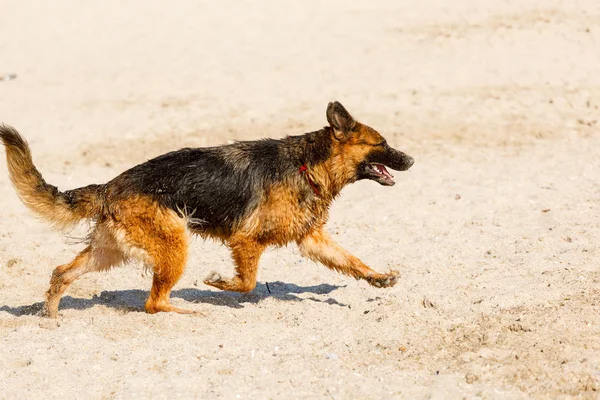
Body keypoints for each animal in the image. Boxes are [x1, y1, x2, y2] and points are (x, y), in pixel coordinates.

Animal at [0, 101, 412, 318]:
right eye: (382, 143)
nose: (410, 159)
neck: (307, 164)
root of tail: (109, 186)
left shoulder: (311, 239)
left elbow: (351, 260)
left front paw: (378, 278)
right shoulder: (246, 241)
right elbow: (246, 283)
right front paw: (219, 283)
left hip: (110, 251)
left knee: (62, 273)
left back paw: (51, 314)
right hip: (174, 245)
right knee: (153, 302)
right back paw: (188, 310)